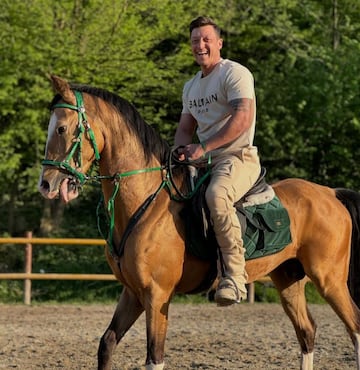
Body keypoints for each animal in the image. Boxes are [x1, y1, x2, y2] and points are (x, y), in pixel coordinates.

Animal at [38, 73, 360, 368]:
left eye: (62, 128)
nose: (46, 184)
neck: (146, 202)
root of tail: (330, 193)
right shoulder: (133, 293)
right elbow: (107, 344)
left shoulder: (157, 295)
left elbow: (154, 357)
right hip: (288, 278)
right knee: (307, 332)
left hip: (329, 280)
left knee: (354, 328)